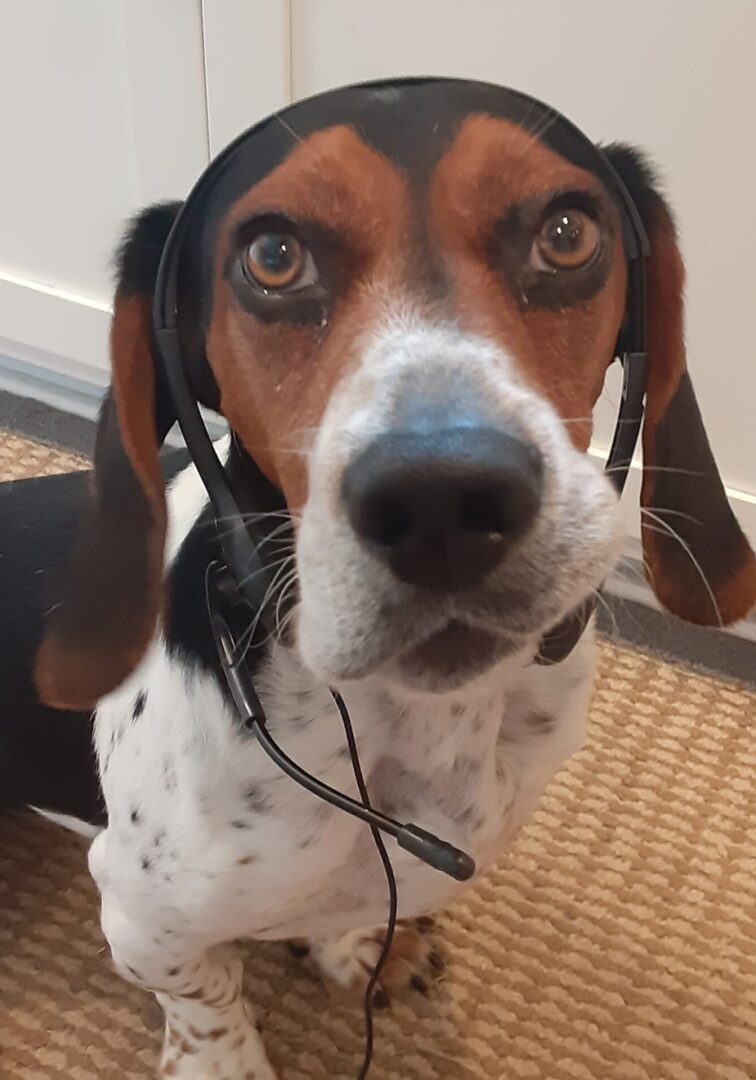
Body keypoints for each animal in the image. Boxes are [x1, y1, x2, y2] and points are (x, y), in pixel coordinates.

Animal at [1, 78, 756, 1080]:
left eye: (567, 233)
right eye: (272, 257)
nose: (443, 500)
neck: (416, 725)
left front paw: (350, 945)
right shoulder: (141, 921)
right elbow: (208, 1002)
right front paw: (226, 1061)